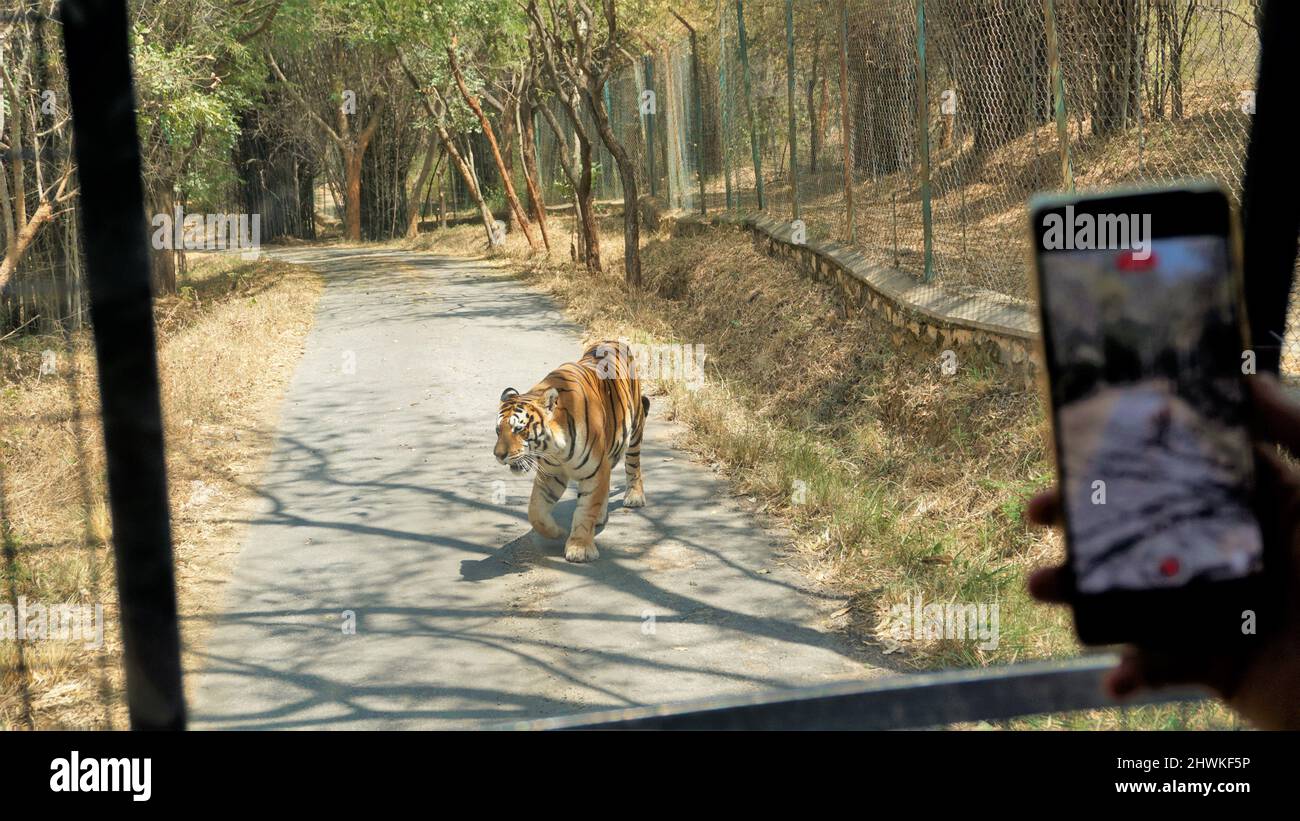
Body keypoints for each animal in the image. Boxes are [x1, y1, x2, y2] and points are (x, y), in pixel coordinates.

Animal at [491, 340, 650, 563]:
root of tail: (614, 341)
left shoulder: (594, 471)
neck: (555, 448)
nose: (499, 455)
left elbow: (585, 511)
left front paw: (579, 548)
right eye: (498, 430)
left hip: (635, 426)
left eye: (519, 429)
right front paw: (556, 532)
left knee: (633, 464)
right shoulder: (552, 473)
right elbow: (535, 511)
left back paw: (634, 496)